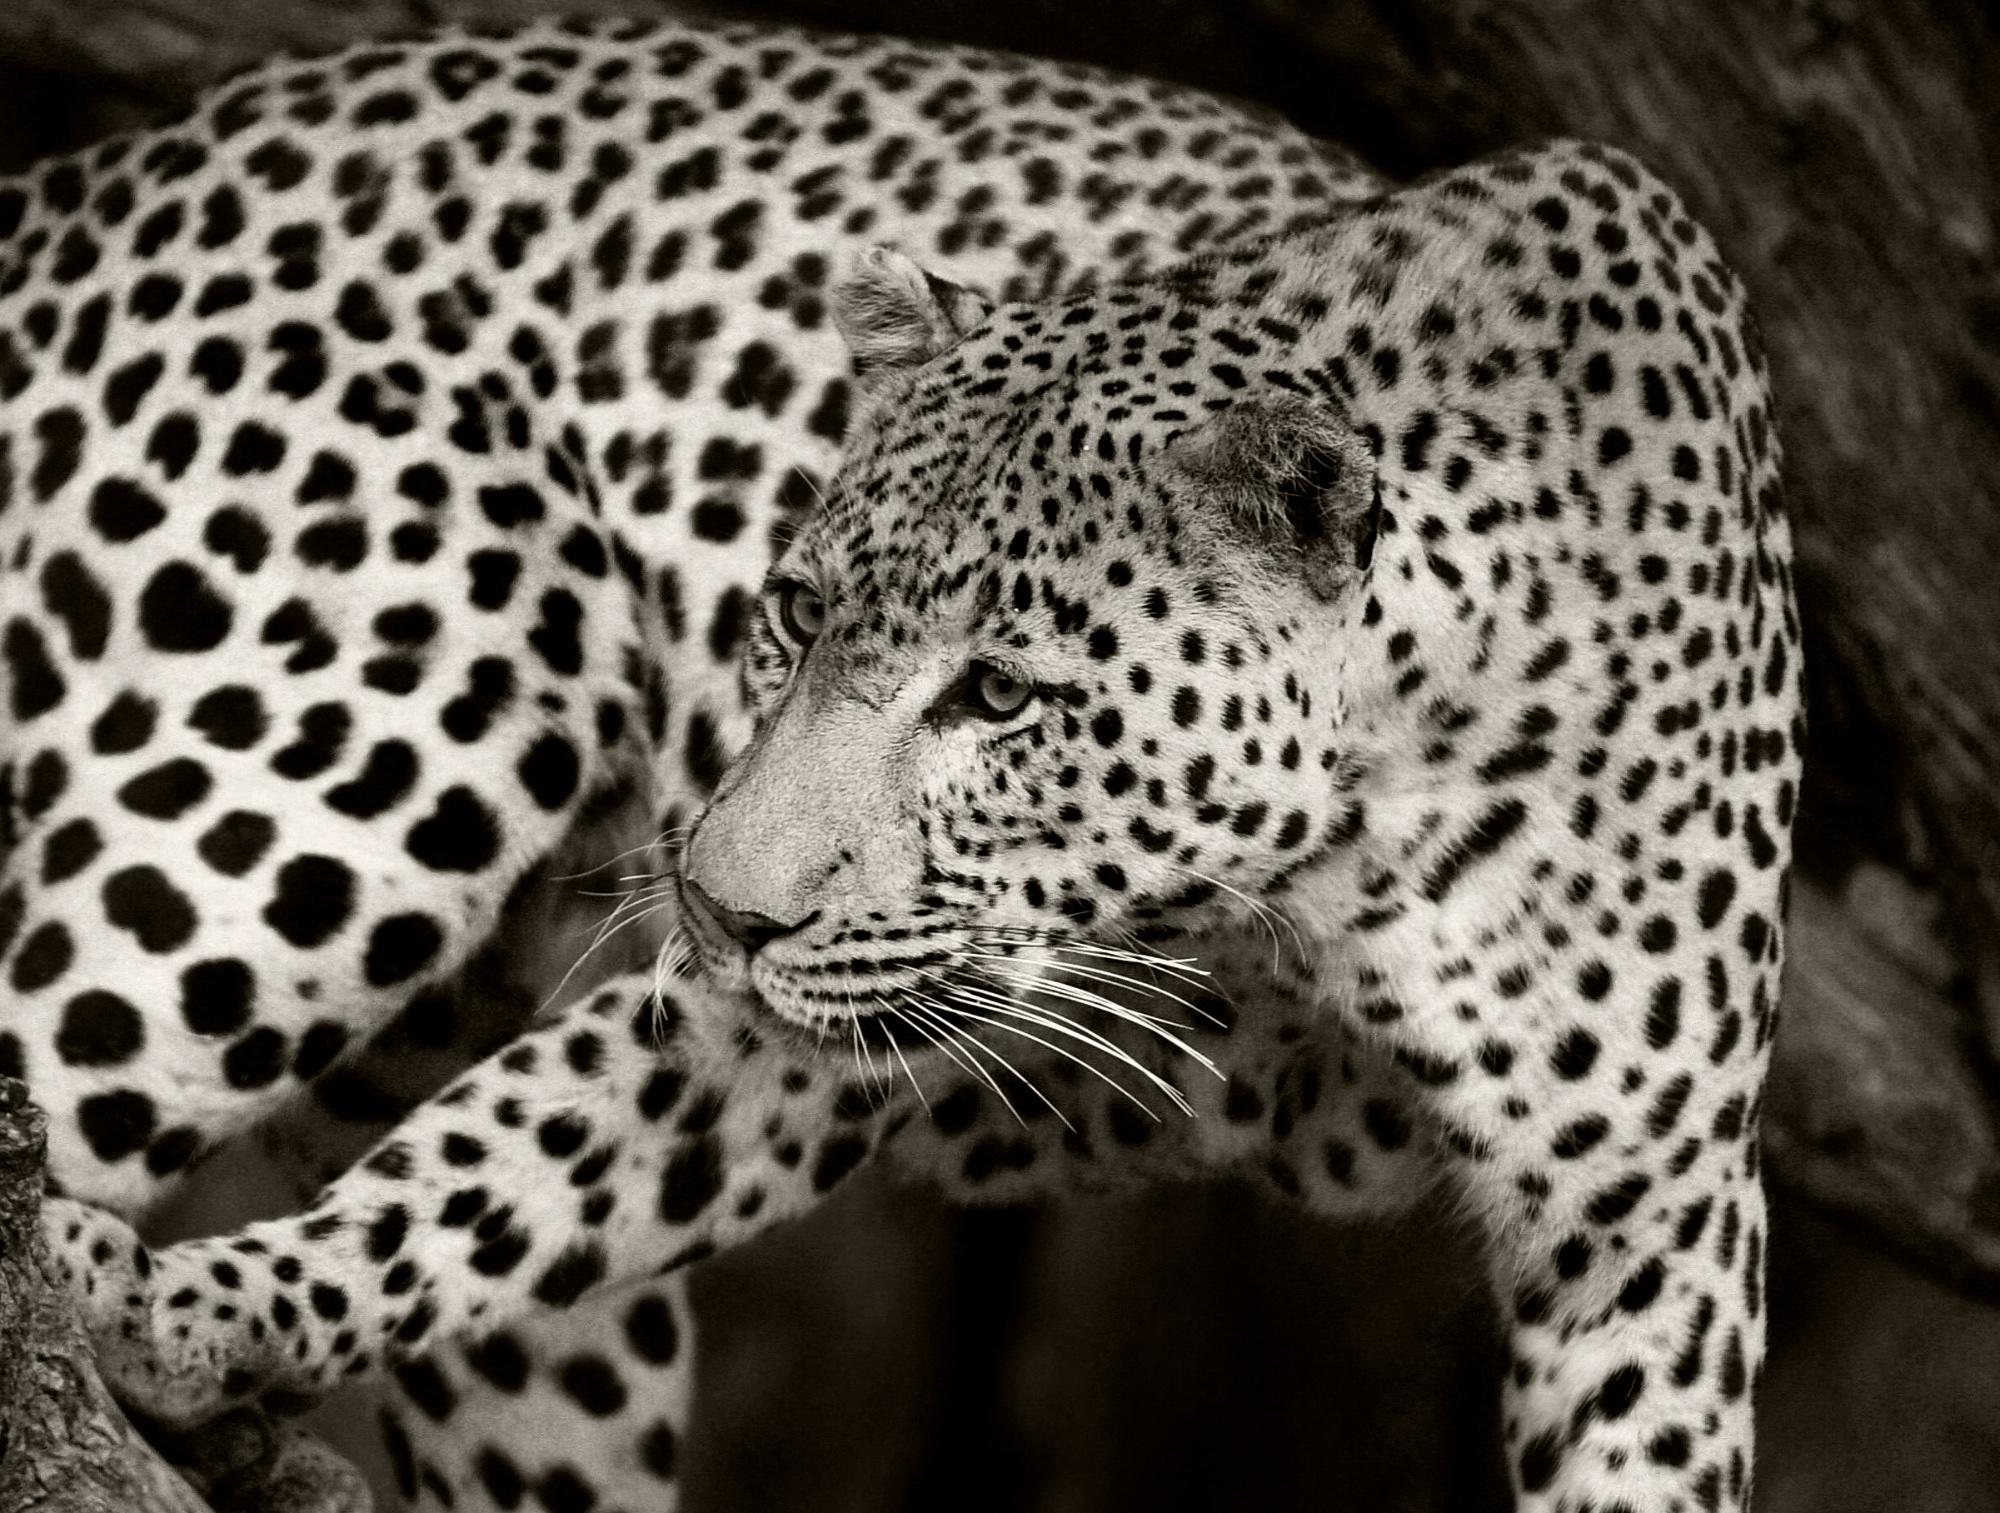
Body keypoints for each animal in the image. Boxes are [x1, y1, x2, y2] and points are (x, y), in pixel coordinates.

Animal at [0, 14, 1816, 1513]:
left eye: (1000, 693)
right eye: (797, 613)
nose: (716, 910)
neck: (1311, 874)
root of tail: (108, 173)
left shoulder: (1646, 1221)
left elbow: (494, 1185)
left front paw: (207, 1309)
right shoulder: (787, 1025)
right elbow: (483, 1165)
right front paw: (175, 1300)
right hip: (338, 766)